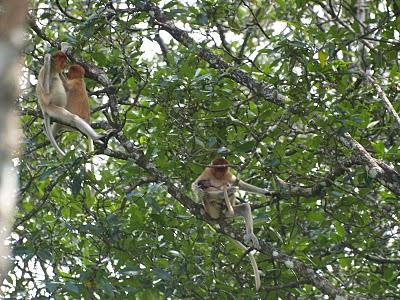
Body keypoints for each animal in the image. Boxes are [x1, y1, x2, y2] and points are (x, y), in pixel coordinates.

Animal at [192, 157, 270, 290]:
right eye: (217, 168)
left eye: (223, 168)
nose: (219, 174)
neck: (218, 176)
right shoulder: (207, 171)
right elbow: (195, 186)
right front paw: (203, 190)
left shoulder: (228, 174)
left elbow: (240, 183)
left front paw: (267, 192)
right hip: (210, 210)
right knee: (207, 195)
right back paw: (222, 193)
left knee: (244, 207)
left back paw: (249, 233)